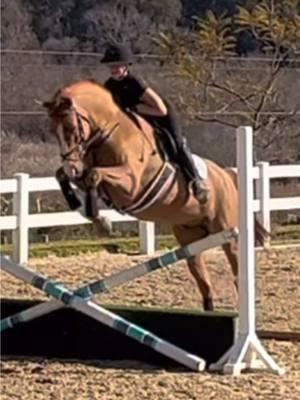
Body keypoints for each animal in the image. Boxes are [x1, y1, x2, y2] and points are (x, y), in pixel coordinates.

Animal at [43, 79, 266, 310]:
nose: (72, 167)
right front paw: (93, 216)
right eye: (53, 131)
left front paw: (101, 222)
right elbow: (67, 176)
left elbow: (94, 175)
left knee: (236, 268)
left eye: (70, 128)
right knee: (203, 280)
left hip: (227, 230)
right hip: (189, 238)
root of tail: (226, 175)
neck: (112, 134)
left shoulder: (132, 184)